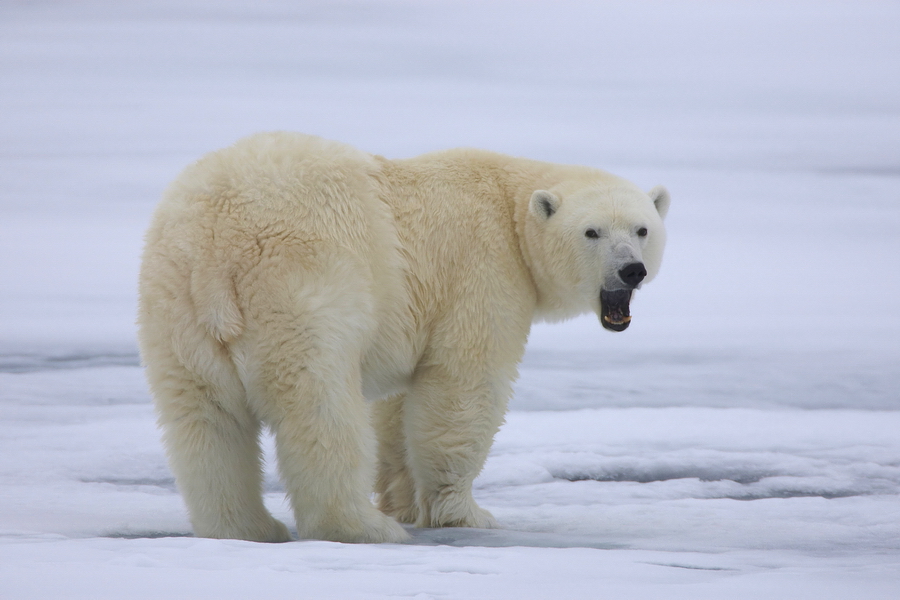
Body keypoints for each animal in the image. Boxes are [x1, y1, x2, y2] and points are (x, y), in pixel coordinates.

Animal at [139, 132, 668, 544]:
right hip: (300, 290)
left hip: (174, 310)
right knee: (320, 411)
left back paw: (245, 527)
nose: (631, 270)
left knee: (204, 421)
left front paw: (404, 501)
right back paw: (360, 527)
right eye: (592, 232)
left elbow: (398, 406)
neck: (509, 205)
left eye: (643, 229)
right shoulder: (482, 269)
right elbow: (463, 386)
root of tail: (215, 248)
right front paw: (465, 513)